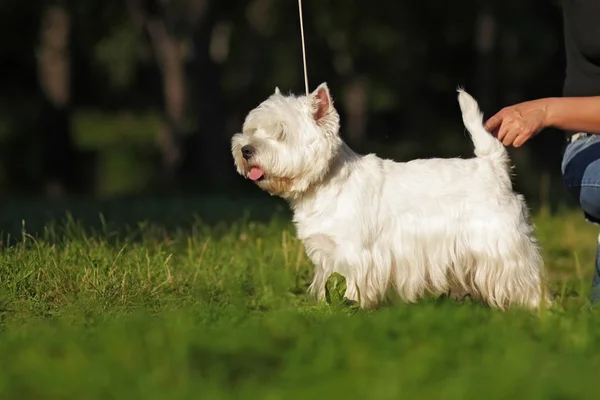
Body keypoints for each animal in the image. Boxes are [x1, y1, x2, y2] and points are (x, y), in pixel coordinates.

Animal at [232, 83, 552, 310]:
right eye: (253, 130)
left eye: (281, 133)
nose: (245, 149)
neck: (324, 184)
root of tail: (492, 164)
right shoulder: (326, 254)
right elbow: (327, 283)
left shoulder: (355, 254)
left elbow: (351, 287)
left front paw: (350, 308)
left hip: (501, 242)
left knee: (525, 277)